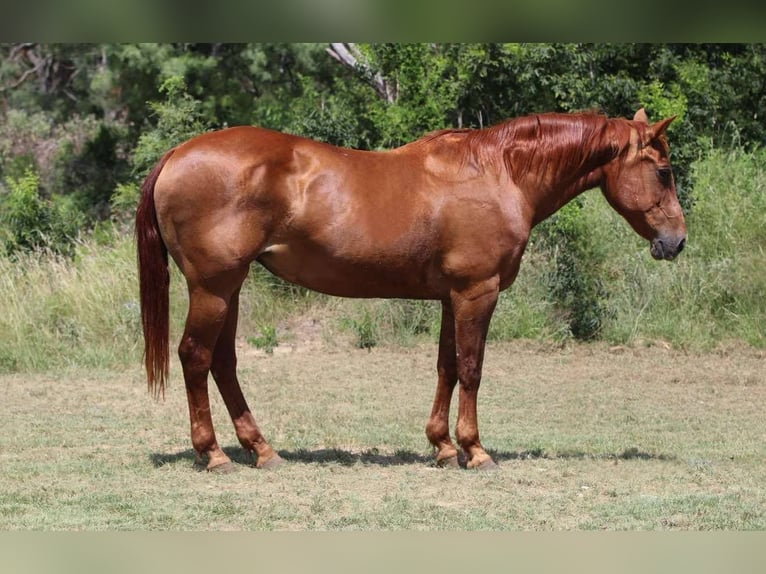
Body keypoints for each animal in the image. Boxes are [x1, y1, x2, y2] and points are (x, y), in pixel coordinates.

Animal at [136, 108, 686, 472]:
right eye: (663, 172)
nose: (677, 241)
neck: (499, 174)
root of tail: (177, 155)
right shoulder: (477, 293)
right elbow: (472, 368)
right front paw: (475, 450)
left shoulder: (451, 297)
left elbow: (447, 367)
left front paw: (442, 446)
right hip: (213, 287)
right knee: (195, 357)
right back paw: (212, 455)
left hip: (230, 288)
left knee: (223, 362)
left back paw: (262, 450)